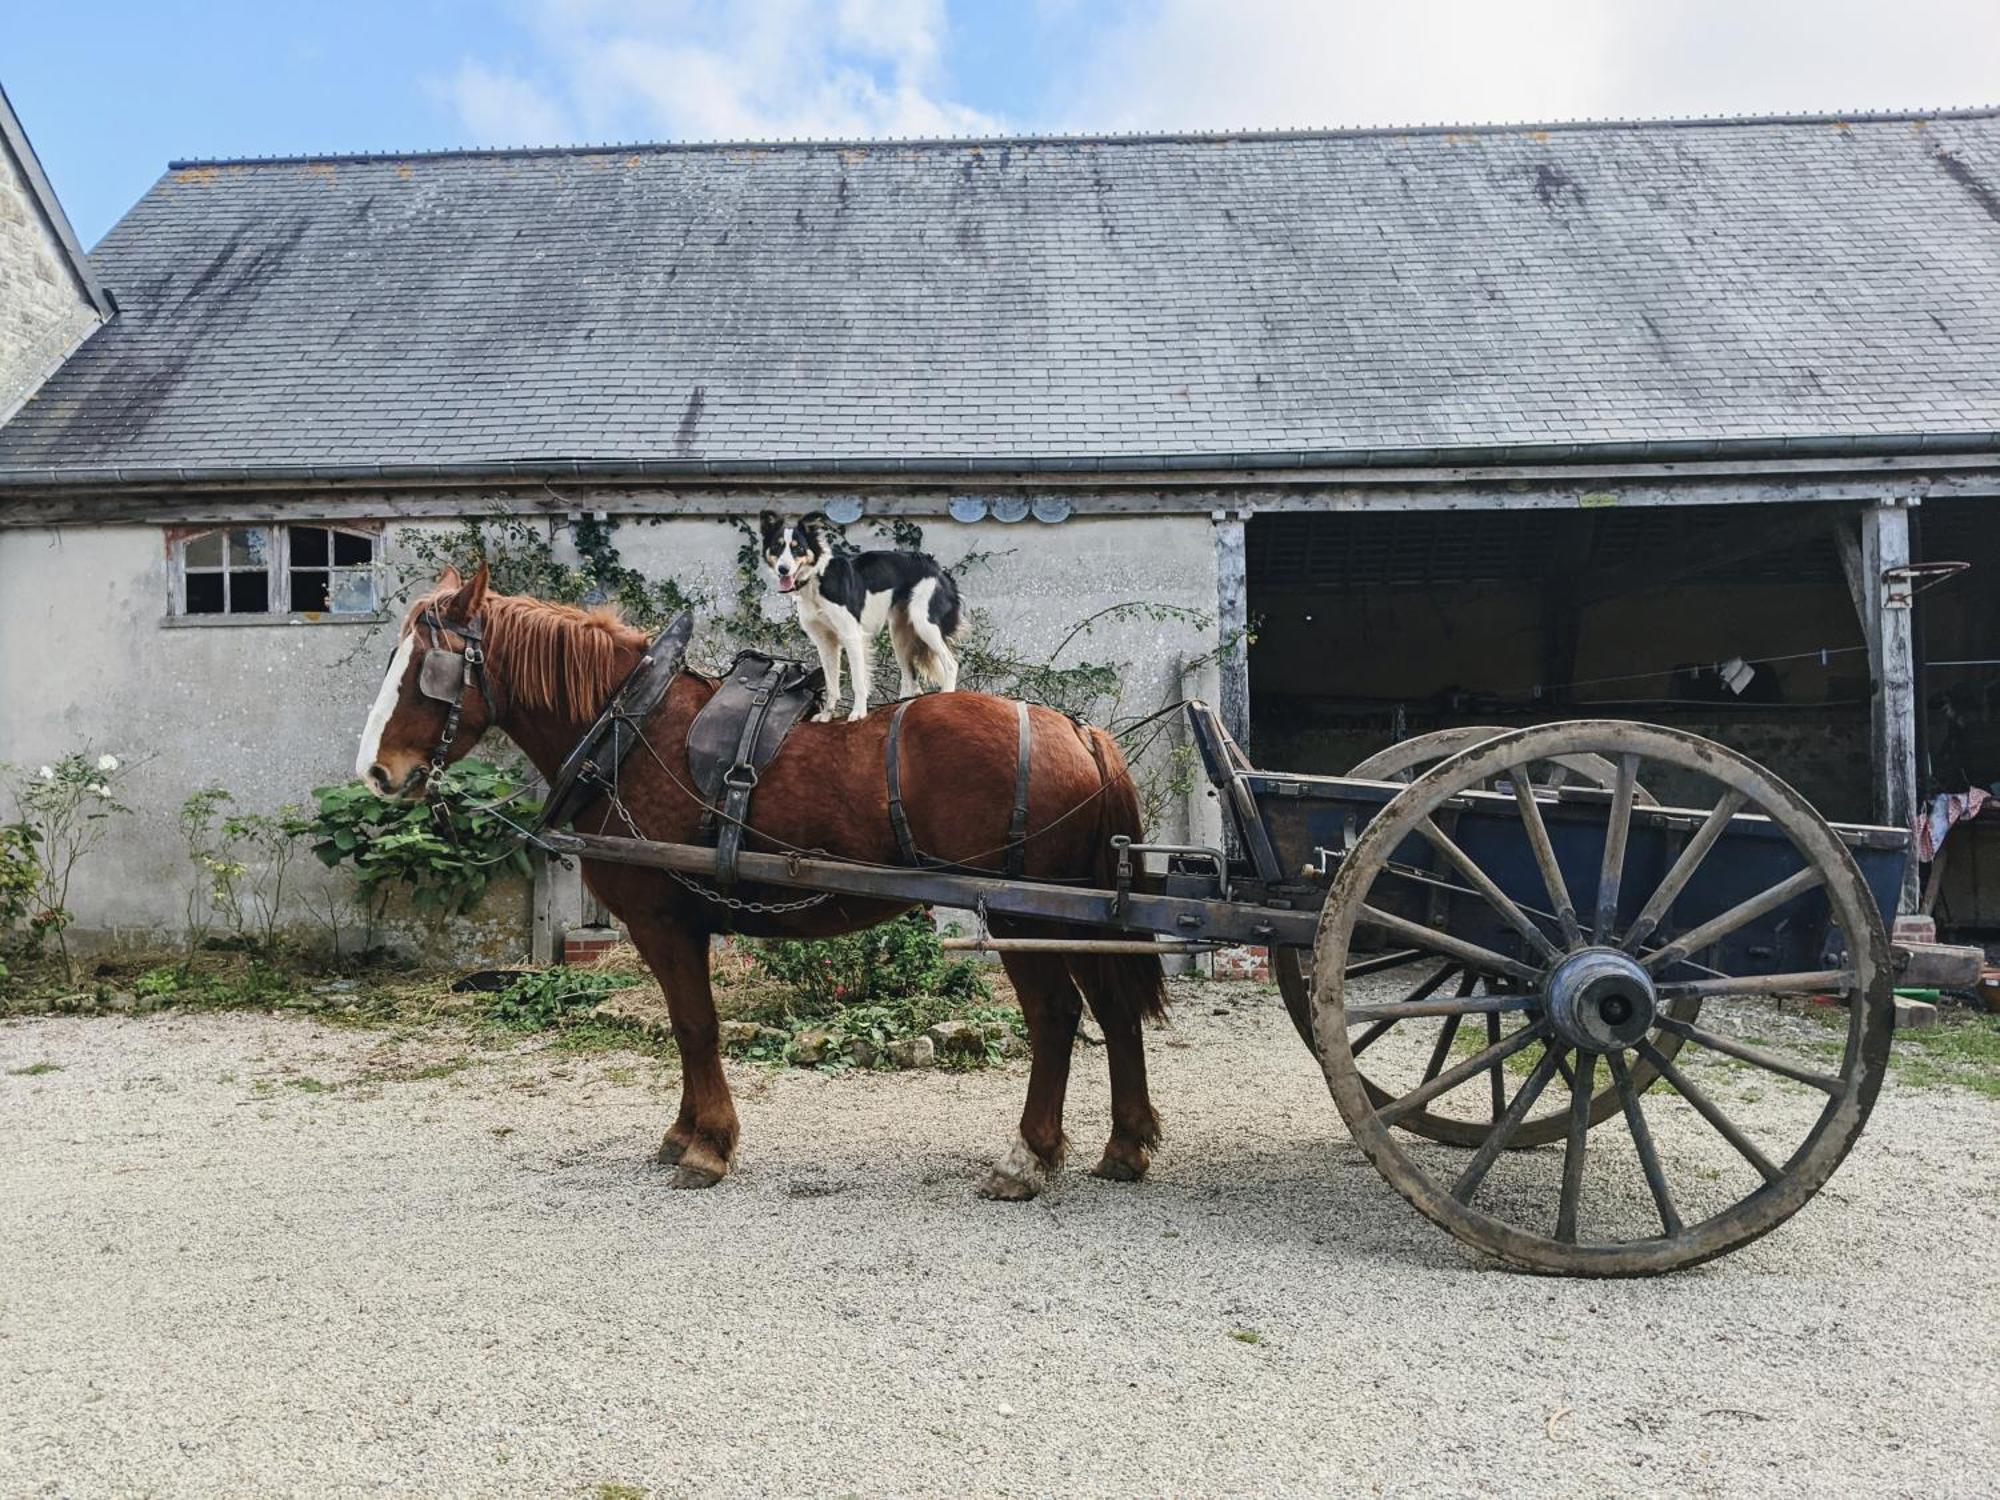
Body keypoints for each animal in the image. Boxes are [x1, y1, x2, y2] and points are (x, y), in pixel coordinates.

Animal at [360, 564, 1168, 1200]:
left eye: (425, 670)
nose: (377, 773)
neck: (629, 732)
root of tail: (1077, 731)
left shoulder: (663, 921)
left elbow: (695, 1025)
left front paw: (708, 1147)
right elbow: (687, 1028)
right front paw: (683, 1132)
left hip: (1024, 915)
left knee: (1056, 1018)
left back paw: (1027, 1159)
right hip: (1077, 914)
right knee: (1115, 1012)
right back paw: (1124, 1147)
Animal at [756, 516, 960, 724]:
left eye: (798, 548)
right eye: (776, 547)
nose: (783, 569)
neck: (817, 578)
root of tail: (936, 566)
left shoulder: (851, 635)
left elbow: (858, 680)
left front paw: (858, 713)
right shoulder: (825, 642)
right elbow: (831, 684)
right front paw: (827, 715)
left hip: (925, 624)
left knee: (951, 665)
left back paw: (945, 696)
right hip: (899, 633)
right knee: (910, 676)